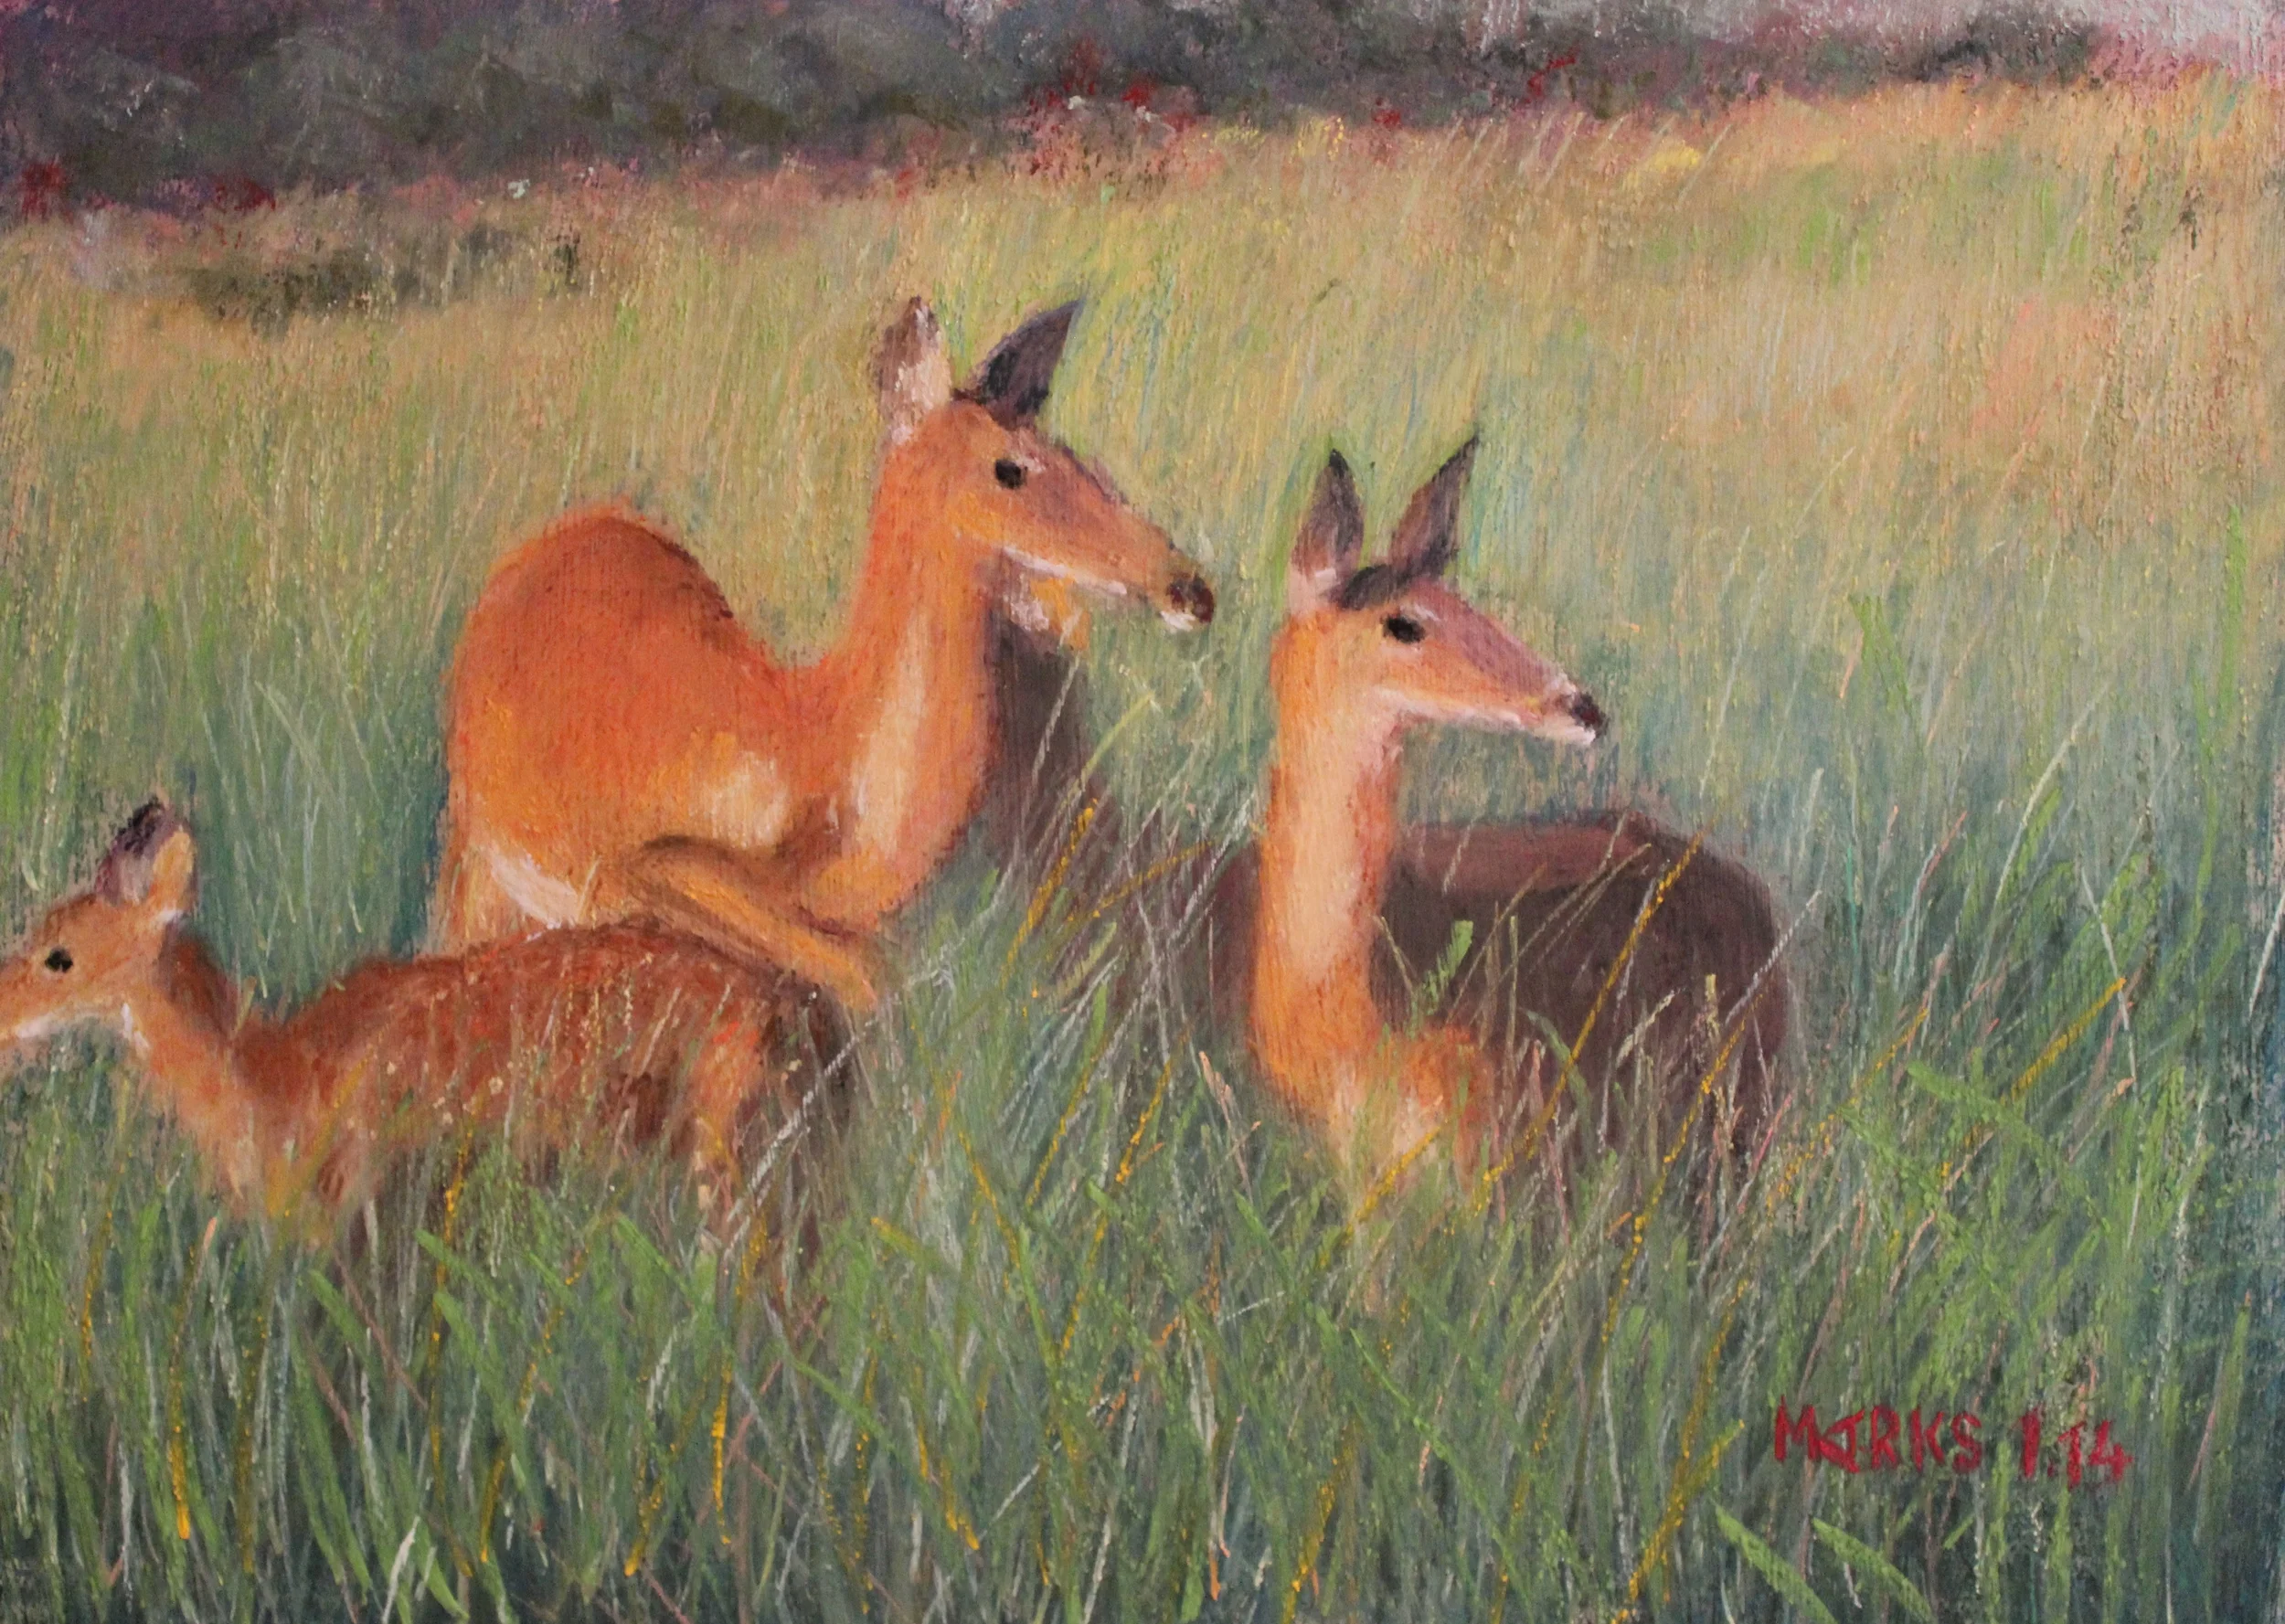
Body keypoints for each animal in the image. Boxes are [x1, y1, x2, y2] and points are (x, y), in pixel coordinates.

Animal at [433, 298, 1215, 1013]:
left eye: (1076, 457)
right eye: (1009, 469)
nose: (1189, 587)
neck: (819, 745)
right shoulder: (647, 867)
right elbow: (864, 977)